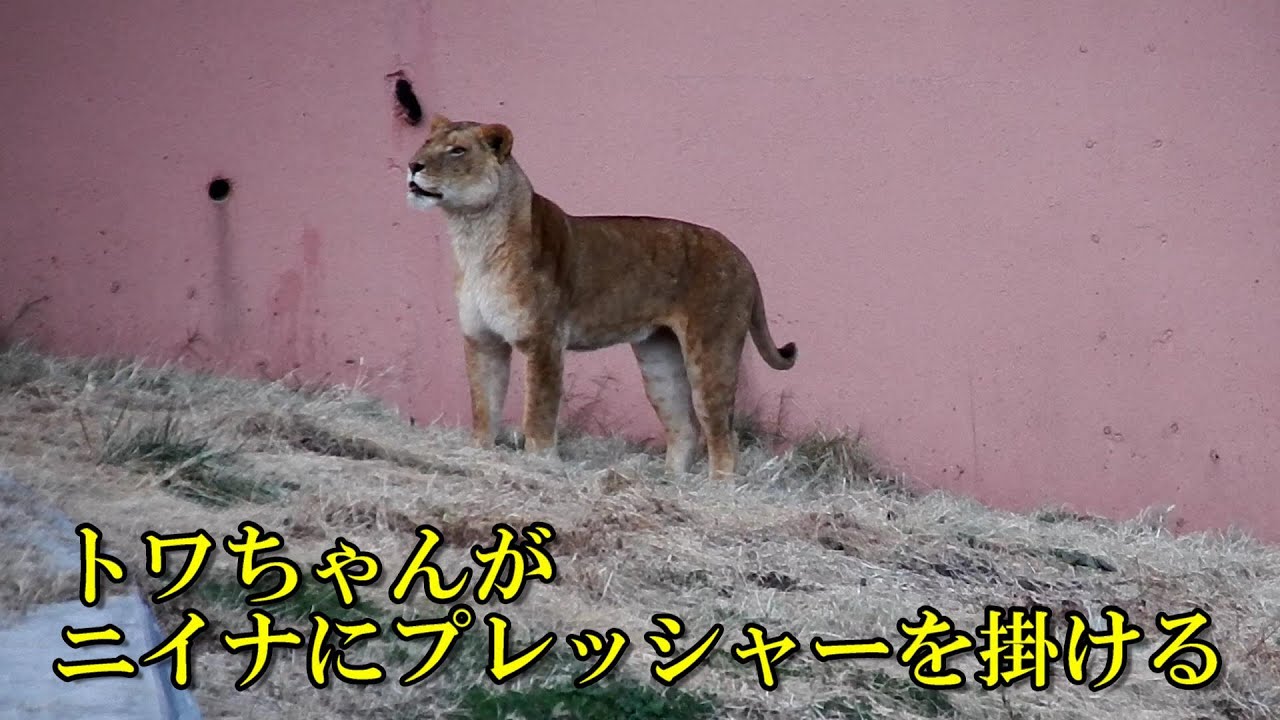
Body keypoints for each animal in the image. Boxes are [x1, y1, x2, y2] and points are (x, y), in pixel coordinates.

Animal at [406, 115, 796, 478]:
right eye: (426, 142)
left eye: (457, 150)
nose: (412, 166)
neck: (473, 235)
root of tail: (741, 255)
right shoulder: (482, 339)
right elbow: (484, 406)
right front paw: (479, 455)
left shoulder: (543, 340)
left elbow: (539, 411)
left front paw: (541, 463)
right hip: (659, 356)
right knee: (685, 427)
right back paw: (671, 482)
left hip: (711, 351)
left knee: (724, 436)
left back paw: (717, 488)